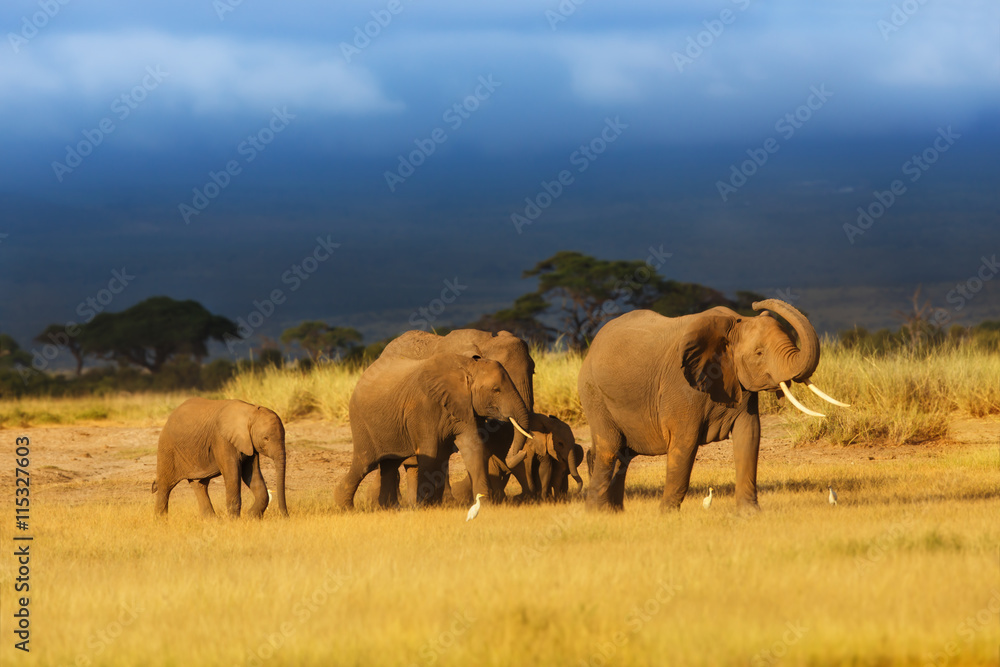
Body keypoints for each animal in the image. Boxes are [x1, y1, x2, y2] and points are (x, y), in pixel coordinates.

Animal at [153, 398, 288, 518]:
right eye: (266, 438)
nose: (286, 516)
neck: (250, 411)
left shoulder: (249, 444)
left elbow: (252, 474)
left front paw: (251, 517)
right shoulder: (222, 439)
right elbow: (233, 474)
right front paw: (234, 521)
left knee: (199, 484)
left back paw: (212, 520)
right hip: (167, 448)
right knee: (165, 485)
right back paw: (161, 521)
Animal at [335, 352, 532, 510]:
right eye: (496, 390)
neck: (468, 366)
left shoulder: (466, 407)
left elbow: (473, 448)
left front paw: (485, 505)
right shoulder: (423, 408)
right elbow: (430, 453)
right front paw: (424, 506)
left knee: (390, 464)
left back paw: (389, 508)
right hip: (362, 422)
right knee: (365, 463)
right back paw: (345, 507)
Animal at [578, 299, 848, 511]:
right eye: (759, 353)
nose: (756, 304)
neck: (734, 325)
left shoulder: (740, 385)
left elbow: (749, 437)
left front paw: (750, 514)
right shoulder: (682, 387)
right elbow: (684, 444)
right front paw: (666, 515)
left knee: (622, 454)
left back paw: (614, 512)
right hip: (594, 393)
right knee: (609, 448)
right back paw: (598, 513)